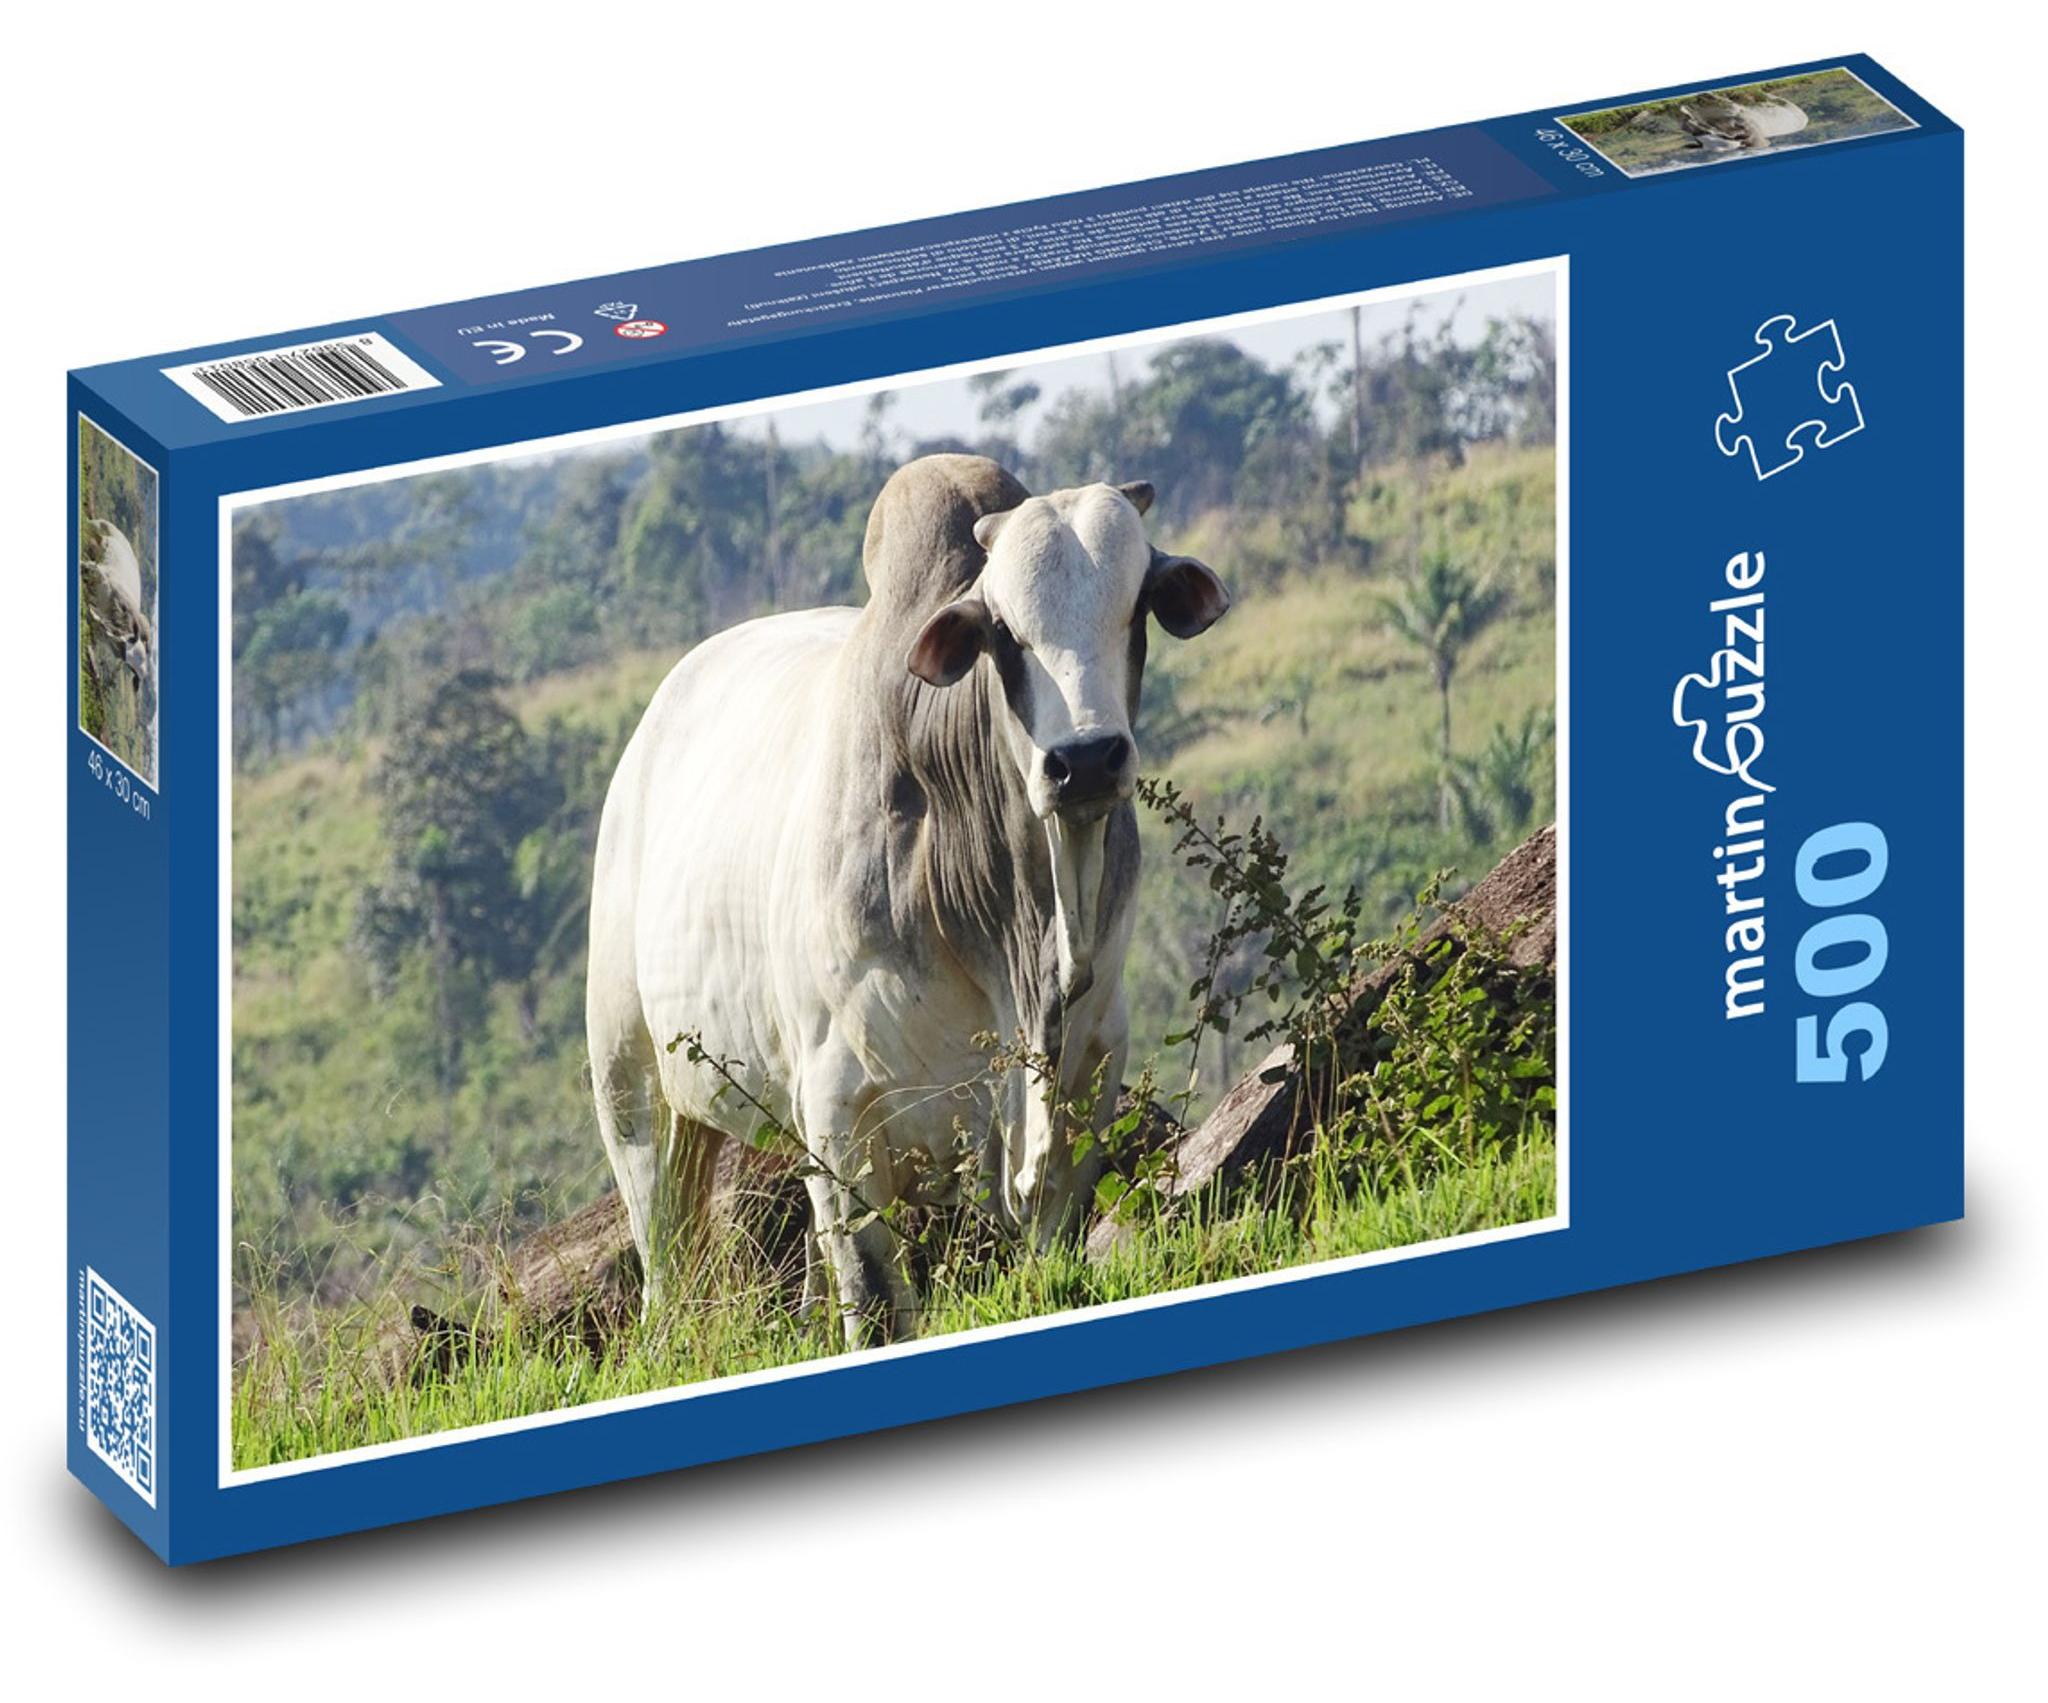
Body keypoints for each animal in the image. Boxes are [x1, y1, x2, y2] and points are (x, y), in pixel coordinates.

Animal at [585, 454, 1230, 1343]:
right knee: (667, 1266)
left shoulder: (1088, 1078)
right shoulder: (840, 1109)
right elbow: (878, 1296)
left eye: (1136, 605)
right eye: (1005, 630)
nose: (1086, 761)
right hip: (636, 1091)